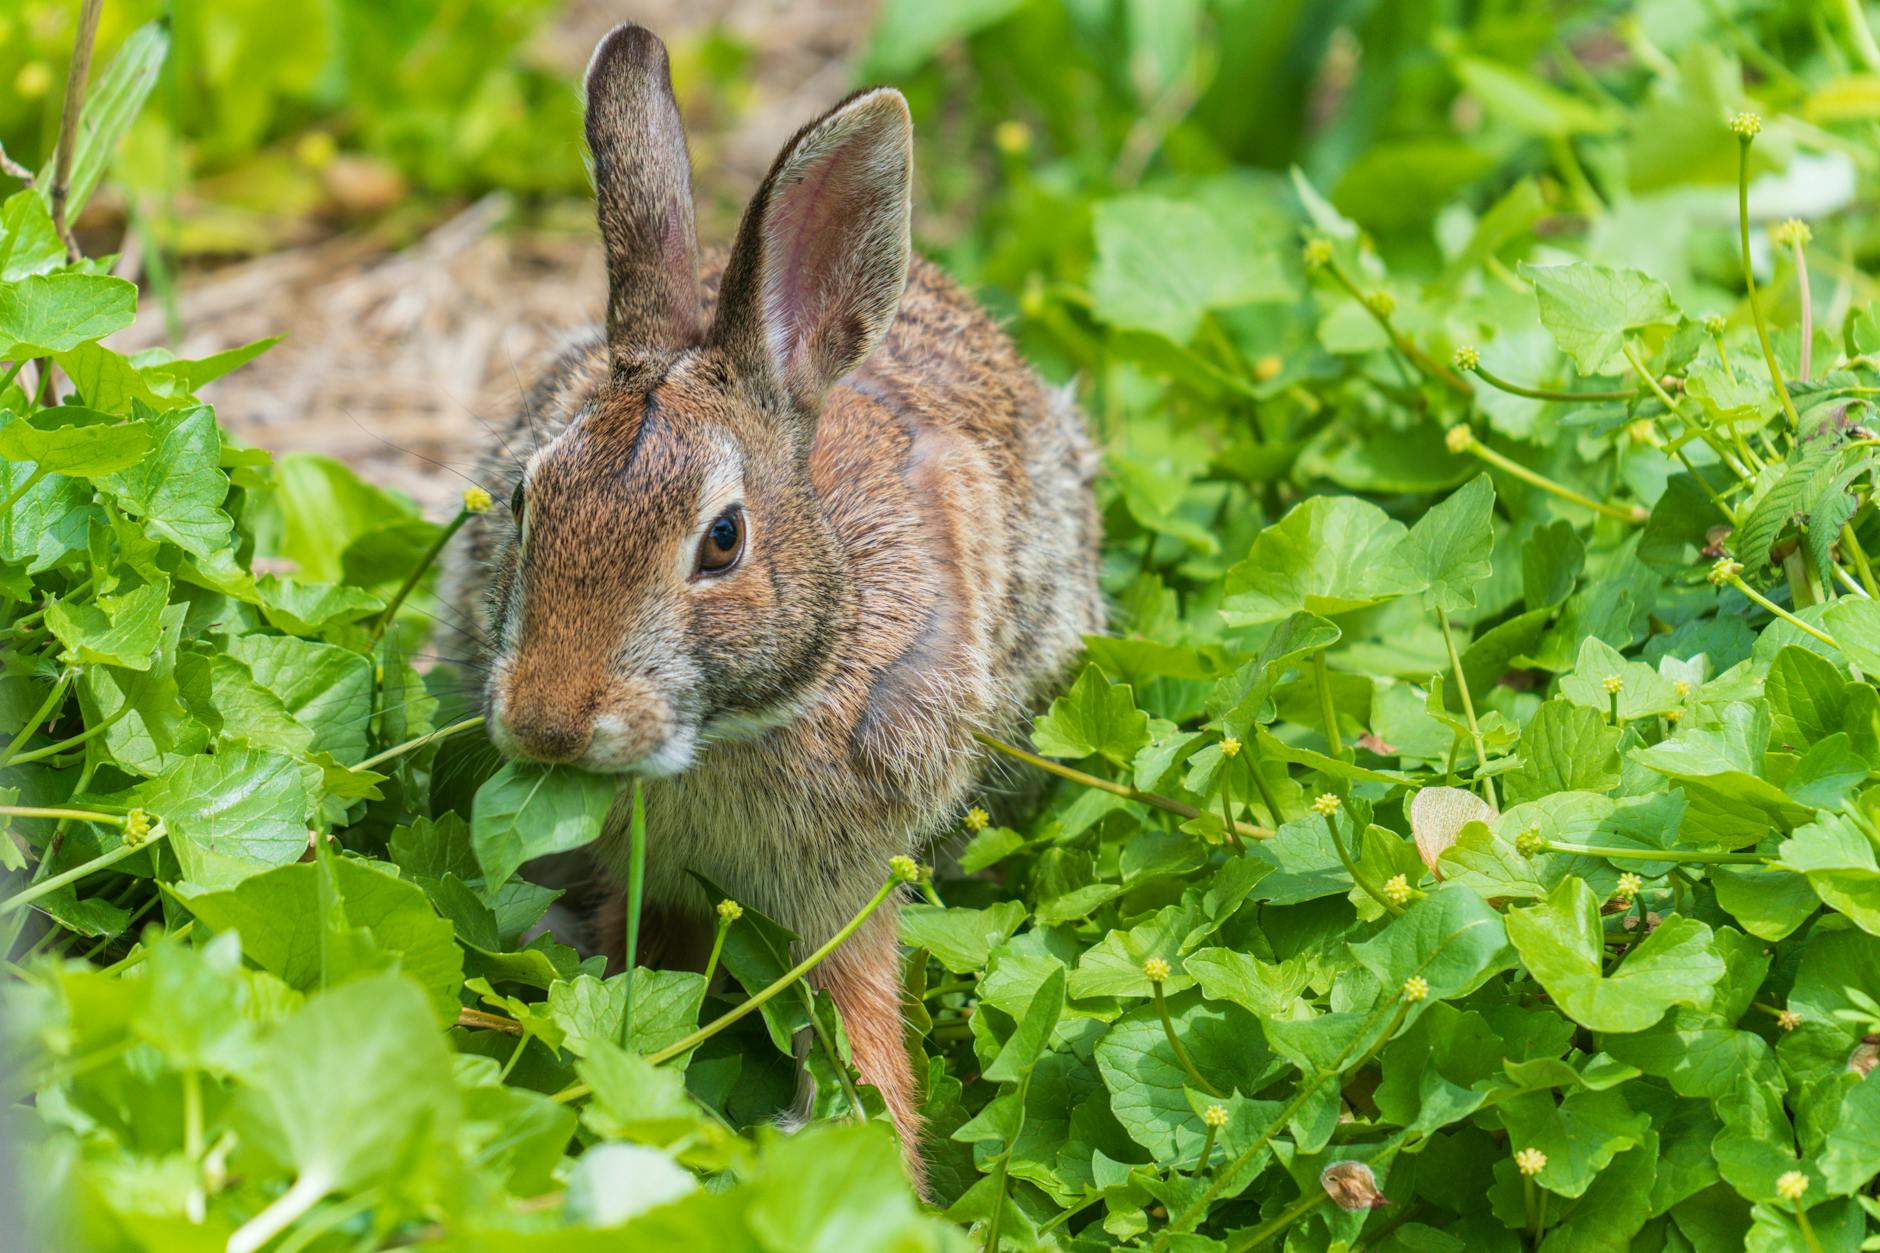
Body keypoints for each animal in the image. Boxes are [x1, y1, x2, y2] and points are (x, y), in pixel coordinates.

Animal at [445, 22, 1103, 1190]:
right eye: (526, 500)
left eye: (722, 540)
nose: (550, 724)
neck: (729, 733)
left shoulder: (844, 890)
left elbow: (859, 1024)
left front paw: (879, 1167)